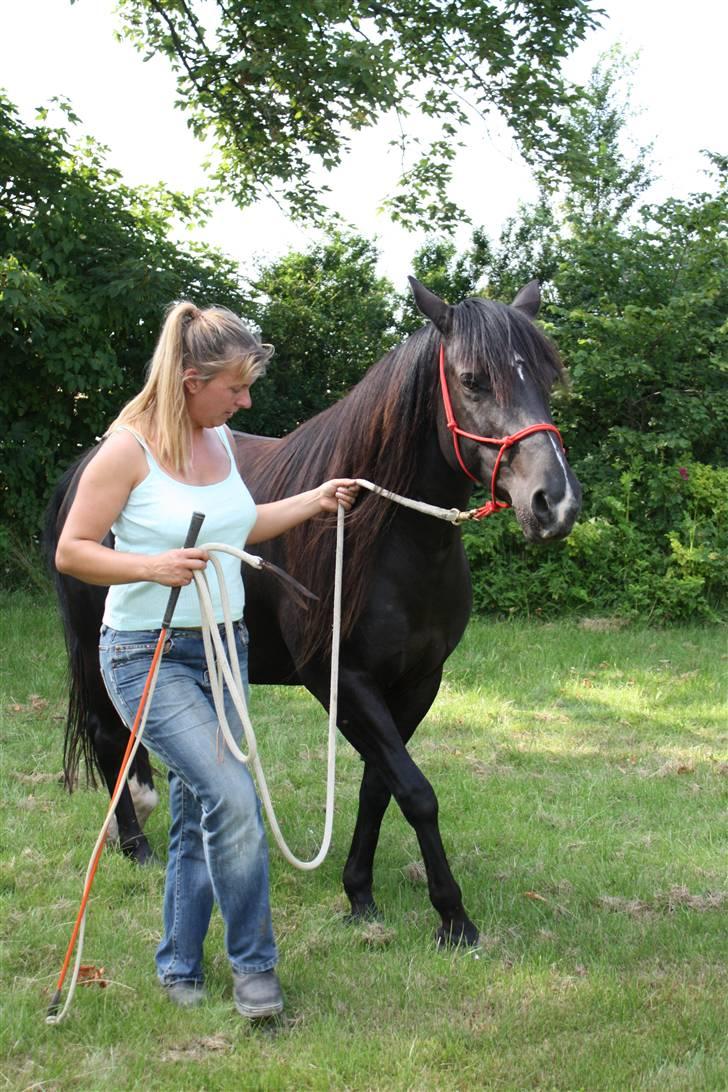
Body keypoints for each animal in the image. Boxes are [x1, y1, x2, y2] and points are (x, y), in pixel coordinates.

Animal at [44, 279, 580, 947]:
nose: (555, 502)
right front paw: (453, 916)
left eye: (547, 378)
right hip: (99, 651)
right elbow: (417, 791)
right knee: (107, 733)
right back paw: (135, 846)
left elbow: (380, 786)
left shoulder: (418, 683)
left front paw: (361, 894)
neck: (390, 543)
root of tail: (82, 470)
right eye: (473, 379)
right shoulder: (341, 679)